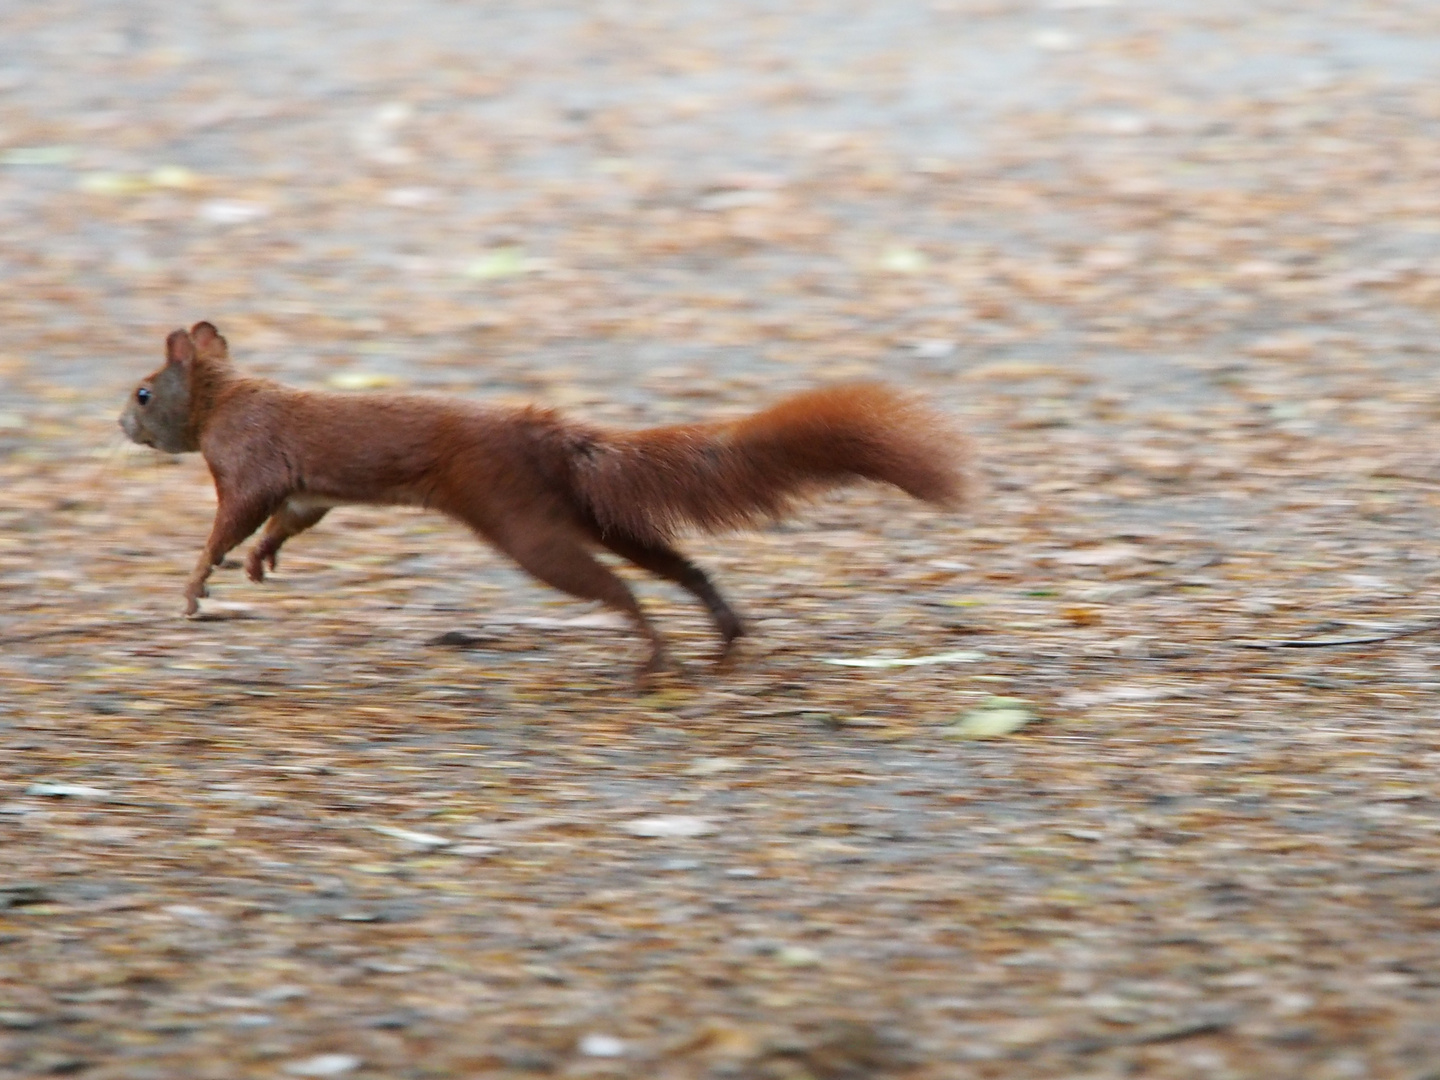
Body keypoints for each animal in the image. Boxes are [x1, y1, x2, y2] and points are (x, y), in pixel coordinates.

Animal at [123, 324, 967, 676]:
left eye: (141, 392)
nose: (120, 423)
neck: (226, 400)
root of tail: (548, 435)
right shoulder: (304, 491)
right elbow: (293, 517)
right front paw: (260, 560)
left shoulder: (249, 462)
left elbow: (234, 517)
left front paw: (198, 583)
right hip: (591, 514)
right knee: (674, 565)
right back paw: (722, 631)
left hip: (519, 520)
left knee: (616, 587)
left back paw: (654, 648)